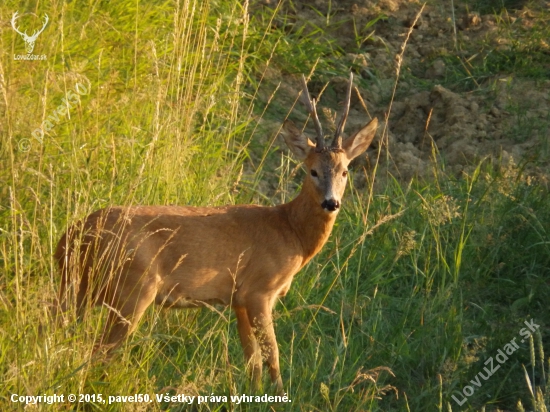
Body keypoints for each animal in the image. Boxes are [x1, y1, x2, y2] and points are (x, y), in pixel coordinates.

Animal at [54, 73, 380, 392]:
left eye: (344, 171)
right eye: (312, 171)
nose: (331, 202)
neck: (290, 231)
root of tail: (71, 236)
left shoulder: (239, 299)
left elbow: (252, 360)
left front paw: (253, 393)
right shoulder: (260, 290)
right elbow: (272, 355)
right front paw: (280, 395)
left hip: (79, 288)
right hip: (133, 288)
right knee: (100, 350)